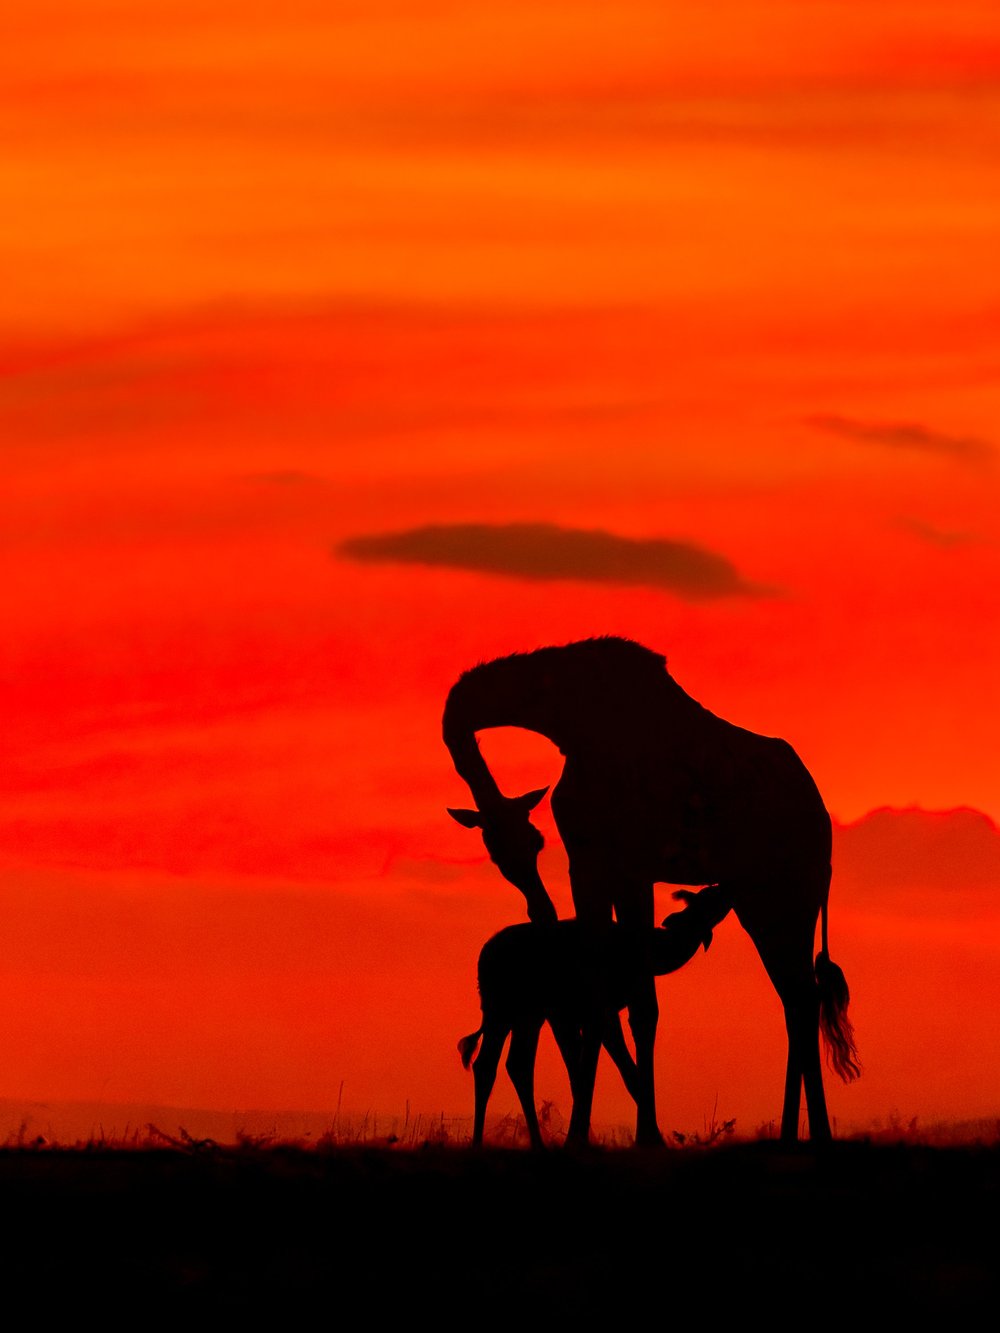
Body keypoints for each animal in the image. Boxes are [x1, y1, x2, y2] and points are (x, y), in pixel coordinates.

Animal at [460, 884, 732, 1148]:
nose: (724, 888)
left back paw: (530, 1143)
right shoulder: (599, 1011)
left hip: (523, 1015)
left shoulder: (579, 1015)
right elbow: (616, 1071)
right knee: (494, 1065)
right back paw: (484, 1143)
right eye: (710, 897)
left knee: (510, 1065)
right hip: (504, 1011)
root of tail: (483, 959)